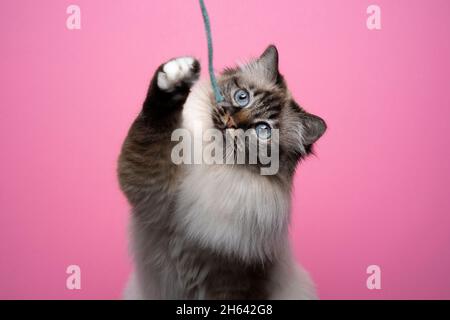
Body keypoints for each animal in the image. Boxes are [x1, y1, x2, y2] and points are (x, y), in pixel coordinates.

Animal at [118, 45, 326, 300]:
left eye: (263, 130)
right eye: (242, 97)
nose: (231, 122)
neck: (215, 165)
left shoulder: (231, 282)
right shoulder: (148, 183)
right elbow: (153, 123)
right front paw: (177, 76)